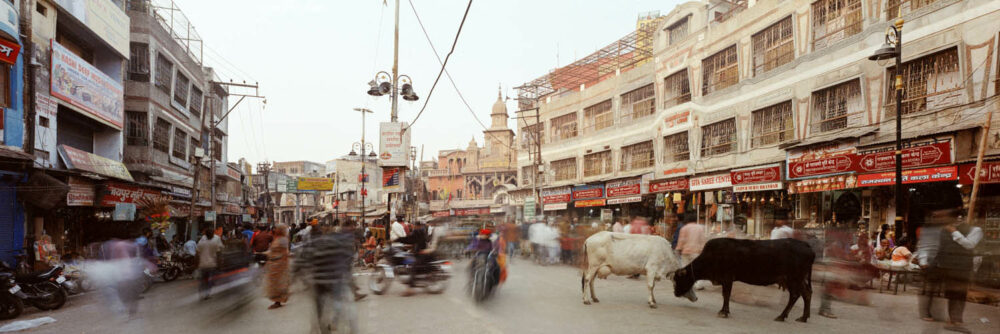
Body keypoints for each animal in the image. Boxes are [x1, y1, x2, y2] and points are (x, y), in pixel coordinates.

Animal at [672, 239, 820, 322]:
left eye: (678, 279)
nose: (675, 293)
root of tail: (807, 246)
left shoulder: (727, 278)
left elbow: (726, 295)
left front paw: (724, 312)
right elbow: (725, 295)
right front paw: (724, 311)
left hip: (794, 278)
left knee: (797, 295)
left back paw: (782, 316)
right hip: (796, 280)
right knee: (806, 294)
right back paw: (803, 317)